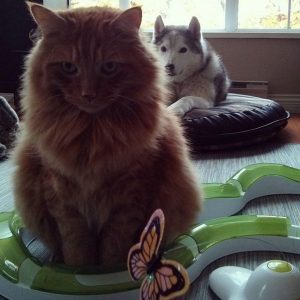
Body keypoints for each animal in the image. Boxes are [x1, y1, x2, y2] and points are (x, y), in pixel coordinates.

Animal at [12, 3, 203, 268]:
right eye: (68, 67)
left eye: (109, 67)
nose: (88, 94)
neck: (93, 133)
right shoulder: (62, 197)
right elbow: (76, 247)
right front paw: (78, 272)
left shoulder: (129, 197)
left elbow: (115, 246)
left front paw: (111, 270)